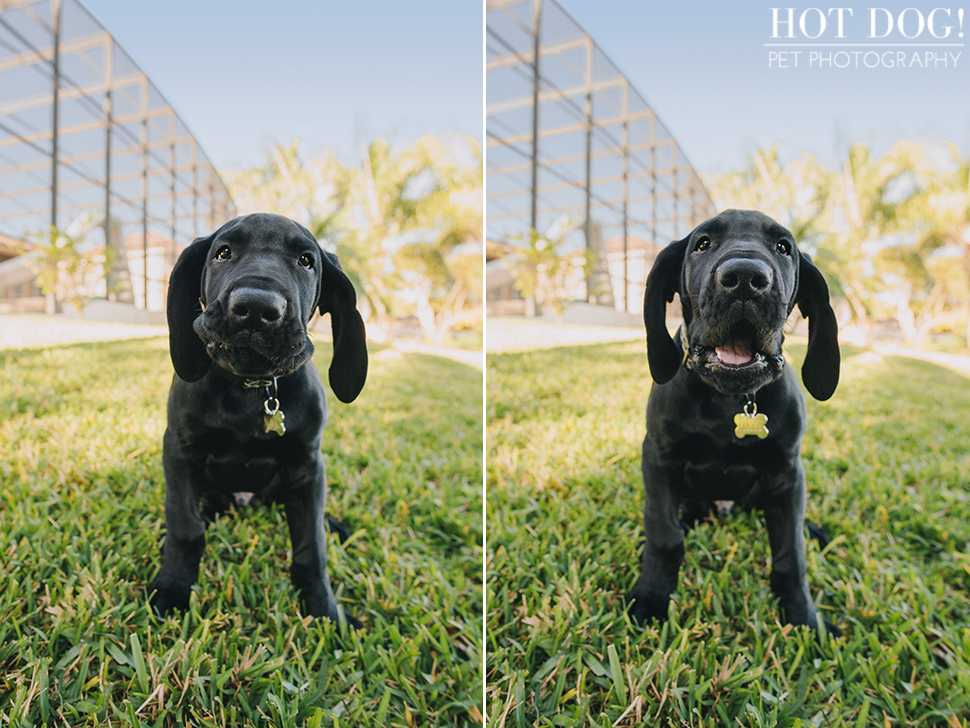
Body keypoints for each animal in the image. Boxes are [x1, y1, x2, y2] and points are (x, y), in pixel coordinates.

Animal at [147, 212, 366, 624]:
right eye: (223, 252)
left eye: (306, 261)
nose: (256, 308)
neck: (252, 389)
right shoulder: (179, 450)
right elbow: (185, 527)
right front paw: (173, 587)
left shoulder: (308, 464)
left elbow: (312, 547)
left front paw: (325, 611)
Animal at [628, 208, 840, 636]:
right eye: (702, 243)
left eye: (784, 247)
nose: (745, 277)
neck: (729, 401)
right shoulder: (658, 457)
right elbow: (664, 535)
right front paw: (652, 596)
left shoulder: (788, 472)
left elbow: (791, 555)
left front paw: (805, 620)